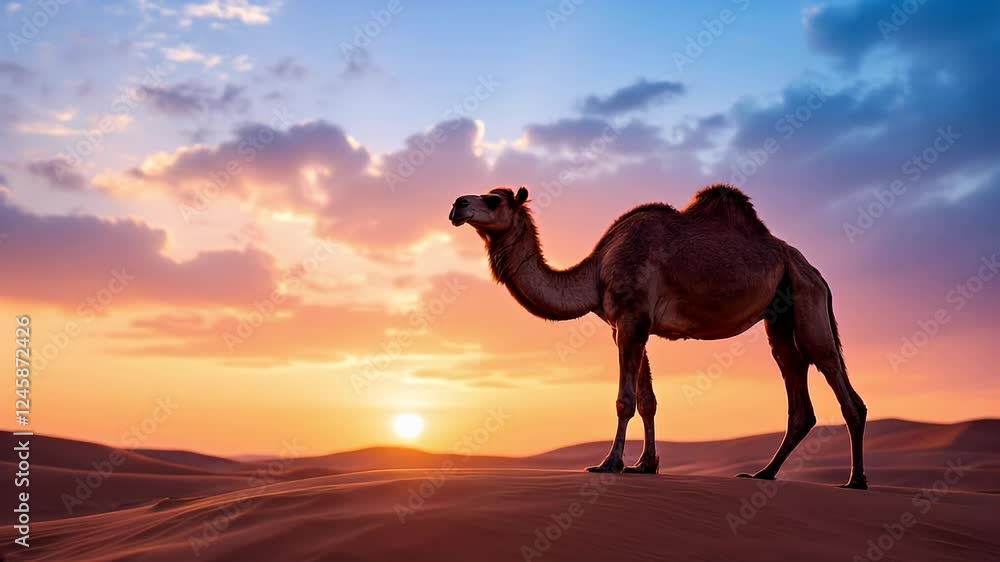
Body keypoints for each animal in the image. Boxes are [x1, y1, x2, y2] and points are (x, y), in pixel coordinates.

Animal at [450, 183, 872, 486]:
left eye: (493, 200)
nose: (457, 205)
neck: (596, 270)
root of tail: (814, 269)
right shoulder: (627, 325)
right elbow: (648, 399)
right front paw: (646, 464)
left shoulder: (632, 317)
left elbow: (625, 400)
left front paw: (610, 463)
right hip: (780, 315)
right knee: (796, 379)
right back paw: (764, 473)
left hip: (806, 298)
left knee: (832, 372)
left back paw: (856, 480)